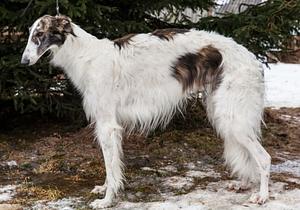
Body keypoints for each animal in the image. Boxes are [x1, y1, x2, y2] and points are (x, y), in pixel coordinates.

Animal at [19, 14, 270, 208]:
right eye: (30, 34)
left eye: (39, 34)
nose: (23, 62)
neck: (86, 56)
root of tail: (252, 58)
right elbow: (111, 166)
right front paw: (104, 188)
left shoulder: (107, 125)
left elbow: (110, 166)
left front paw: (107, 200)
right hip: (225, 113)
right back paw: (244, 184)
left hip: (233, 116)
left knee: (264, 158)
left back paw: (262, 196)